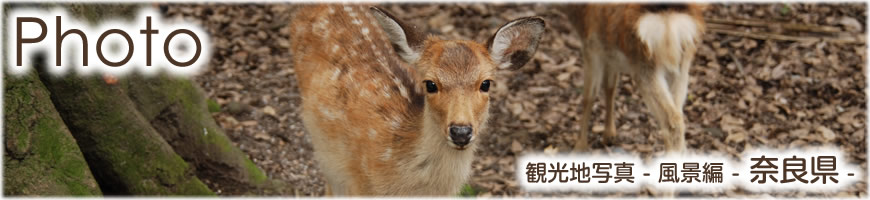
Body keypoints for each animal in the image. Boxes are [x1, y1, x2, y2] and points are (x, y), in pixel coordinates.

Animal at [564, 3, 708, 151]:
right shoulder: (609, 54)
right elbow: (610, 87)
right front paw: (609, 135)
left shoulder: (591, 46)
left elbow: (588, 97)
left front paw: (580, 146)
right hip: (682, 67)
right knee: (678, 114)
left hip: (644, 66)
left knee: (671, 122)